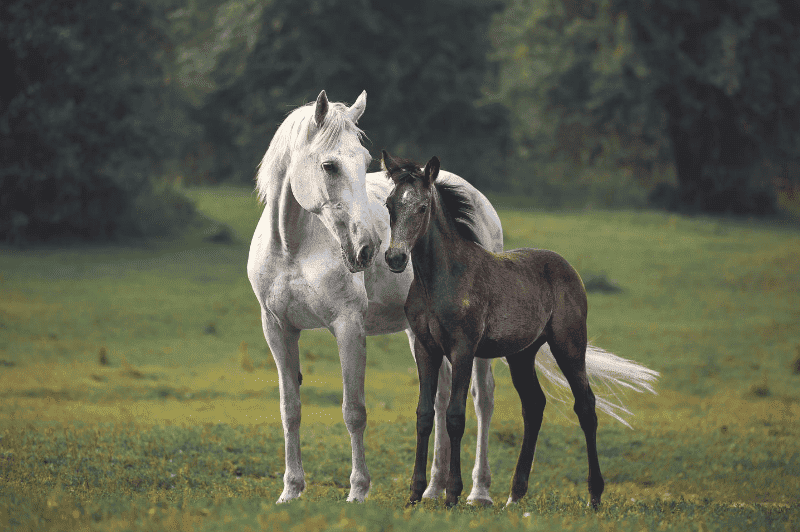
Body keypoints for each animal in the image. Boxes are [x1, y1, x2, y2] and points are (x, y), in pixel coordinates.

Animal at [247, 90, 509, 504]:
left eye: (365, 161)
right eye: (329, 165)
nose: (368, 248)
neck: (293, 247)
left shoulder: (348, 326)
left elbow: (354, 410)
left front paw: (358, 490)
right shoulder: (277, 328)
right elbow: (290, 409)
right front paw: (291, 490)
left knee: (483, 399)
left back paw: (479, 491)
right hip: (421, 333)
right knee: (440, 399)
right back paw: (433, 488)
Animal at [381, 151, 659, 508]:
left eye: (422, 207)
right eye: (389, 204)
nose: (395, 257)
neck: (440, 279)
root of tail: (568, 267)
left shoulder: (463, 348)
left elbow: (455, 415)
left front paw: (453, 494)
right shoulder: (425, 348)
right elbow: (424, 415)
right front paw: (415, 494)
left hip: (569, 345)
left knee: (585, 405)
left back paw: (594, 496)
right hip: (521, 354)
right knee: (534, 405)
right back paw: (515, 495)